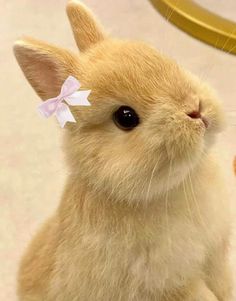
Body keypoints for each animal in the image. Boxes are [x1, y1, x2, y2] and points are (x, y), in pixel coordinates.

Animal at [12, 1, 232, 298]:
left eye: (164, 60)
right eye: (125, 117)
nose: (196, 109)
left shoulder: (217, 256)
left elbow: (224, 282)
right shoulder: (172, 286)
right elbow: (201, 293)